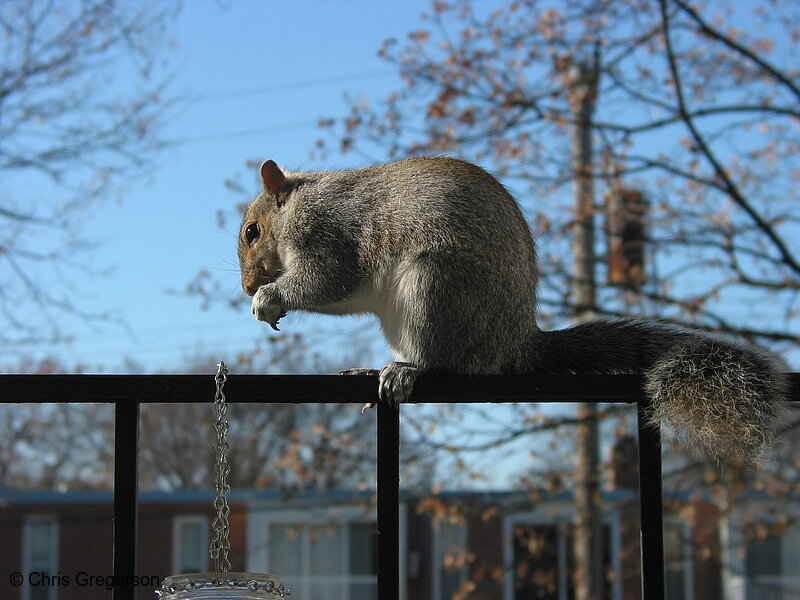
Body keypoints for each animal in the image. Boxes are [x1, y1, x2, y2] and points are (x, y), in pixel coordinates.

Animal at [238, 156, 788, 464]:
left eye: (251, 231)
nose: (245, 287)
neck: (300, 201)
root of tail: (515, 343)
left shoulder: (329, 233)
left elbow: (328, 279)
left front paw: (271, 298)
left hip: (435, 288)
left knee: (441, 361)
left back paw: (403, 370)